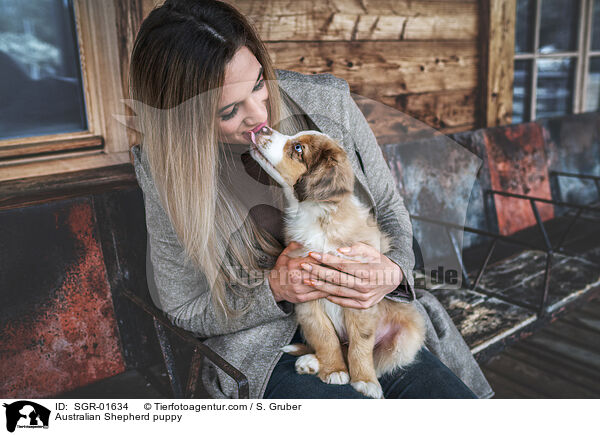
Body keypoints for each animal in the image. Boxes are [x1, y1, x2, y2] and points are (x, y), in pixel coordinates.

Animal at [246, 125, 424, 398]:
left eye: (298, 148)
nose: (261, 127)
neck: (316, 216)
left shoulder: (359, 294)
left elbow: (361, 344)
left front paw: (364, 380)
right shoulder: (306, 294)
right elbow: (324, 336)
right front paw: (333, 370)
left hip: (408, 336)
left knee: (376, 356)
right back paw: (311, 361)